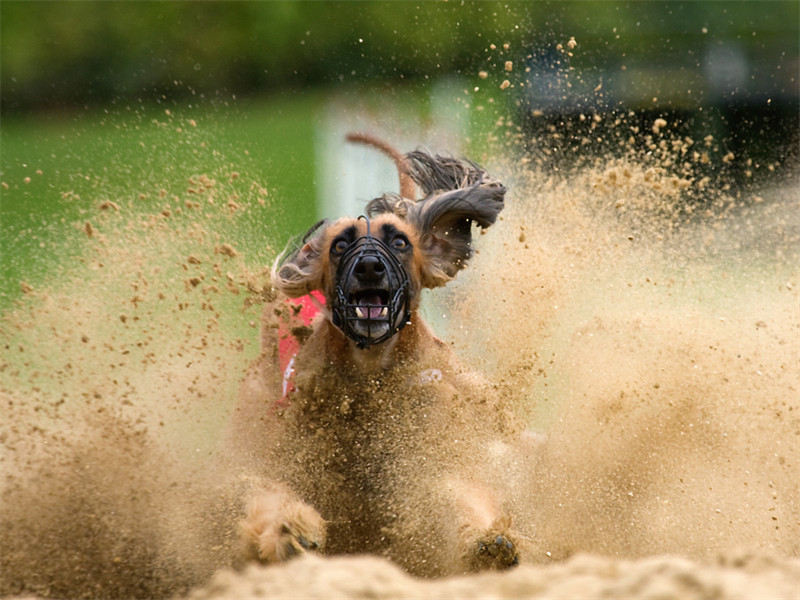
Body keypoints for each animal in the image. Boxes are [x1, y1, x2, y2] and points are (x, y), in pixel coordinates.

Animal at [225, 136, 524, 576]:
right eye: (340, 244)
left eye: (400, 241)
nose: (369, 266)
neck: (369, 378)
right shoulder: (283, 457)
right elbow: (269, 496)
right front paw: (290, 532)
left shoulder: (432, 456)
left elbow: (457, 496)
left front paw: (489, 543)